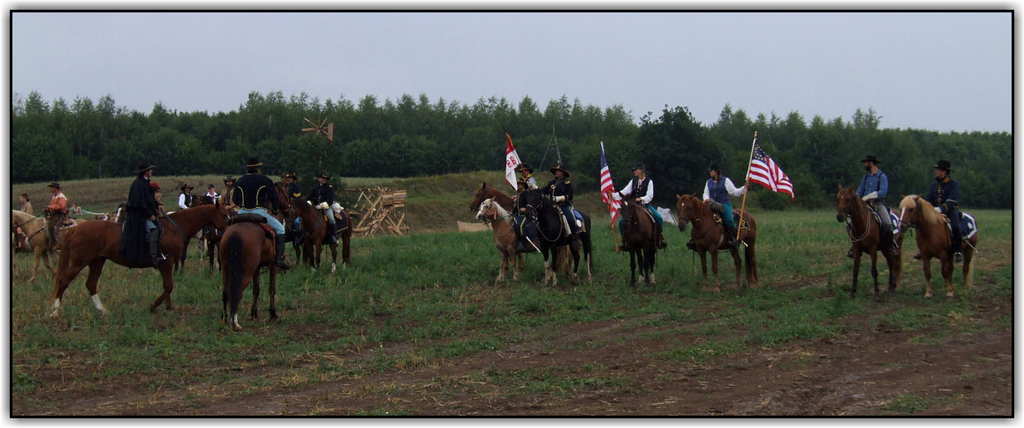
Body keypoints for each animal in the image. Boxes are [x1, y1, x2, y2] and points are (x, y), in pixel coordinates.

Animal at [49, 201, 230, 317]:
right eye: (224, 215)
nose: (228, 230)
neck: (174, 227)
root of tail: (75, 229)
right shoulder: (166, 262)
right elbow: (168, 286)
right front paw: (154, 306)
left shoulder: (168, 264)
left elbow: (168, 286)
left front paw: (168, 306)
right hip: (80, 262)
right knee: (64, 281)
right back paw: (55, 311)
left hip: (97, 261)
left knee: (91, 284)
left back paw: (103, 310)